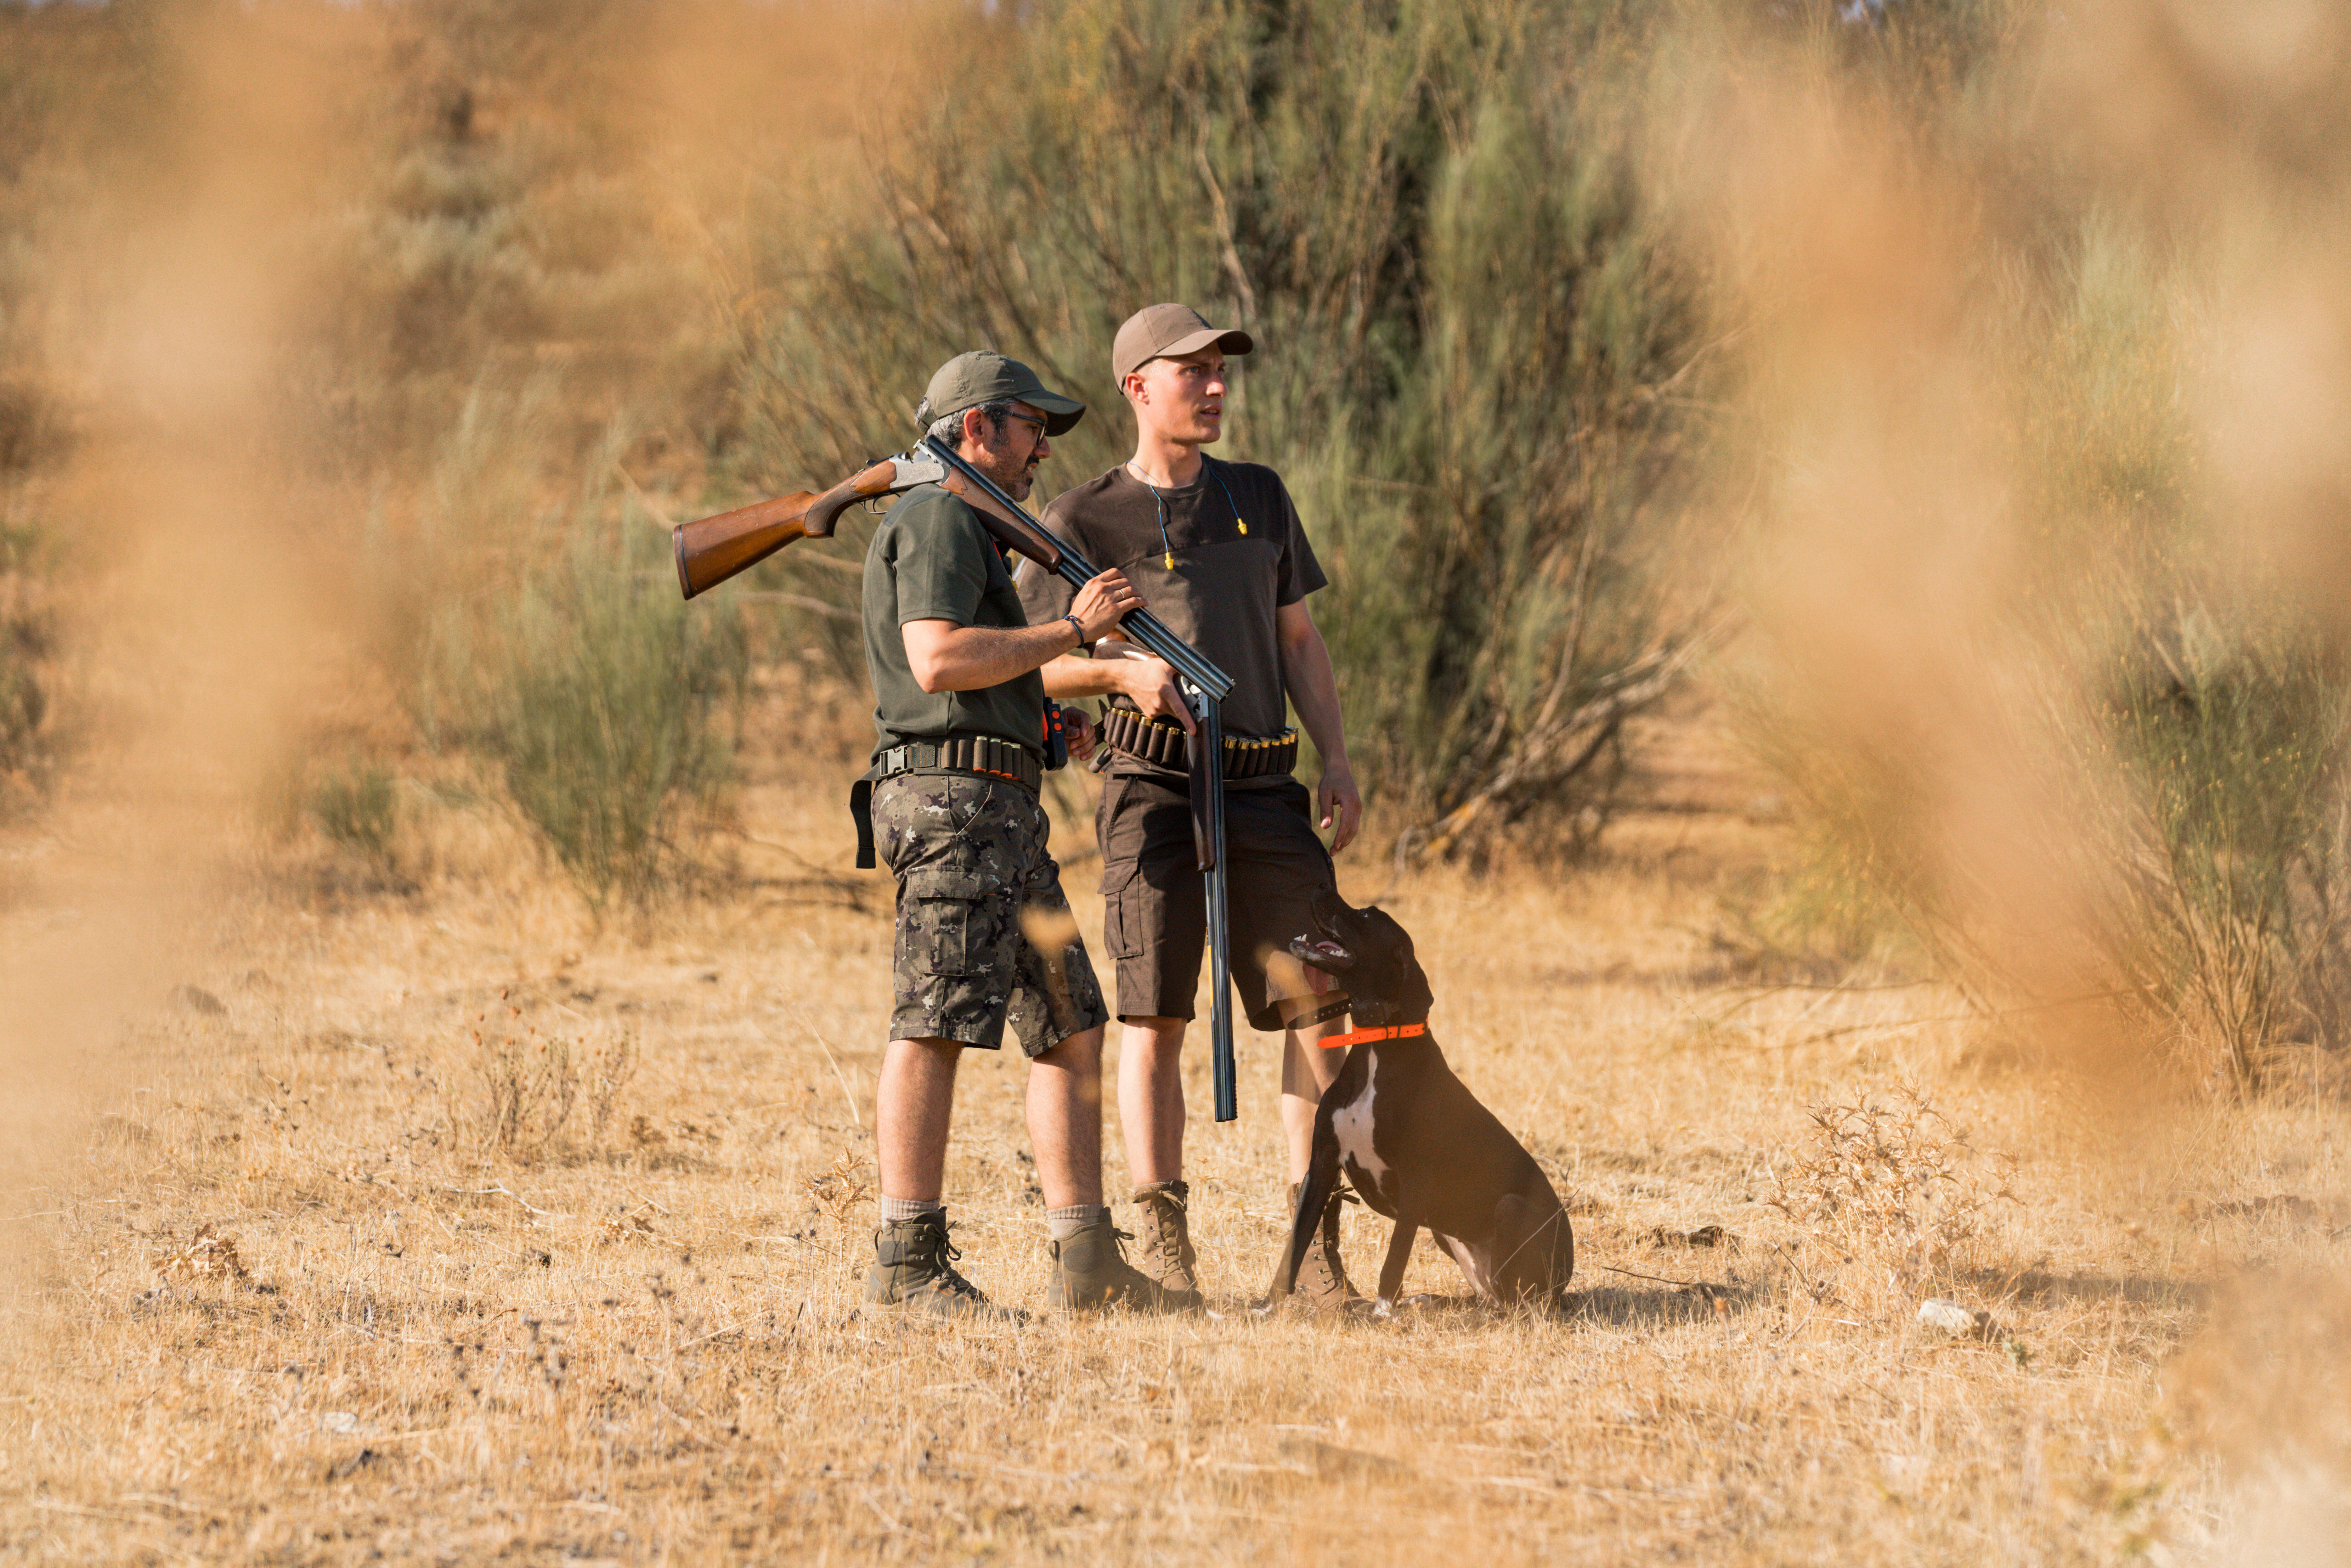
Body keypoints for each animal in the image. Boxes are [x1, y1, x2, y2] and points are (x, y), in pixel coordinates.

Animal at [1260, 888, 1570, 1316]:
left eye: (1366, 916)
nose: (1319, 889)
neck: (1377, 1044)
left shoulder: (1414, 1183)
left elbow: (1393, 1259)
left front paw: (1382, 1315)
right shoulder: (1320, 1164)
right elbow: (1294, 1244)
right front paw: (1267, 1307)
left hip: (1511, 1209)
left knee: (1518, 1304)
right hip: (1449, 1236)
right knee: (1492, 1297)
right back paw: (1430, 1302)